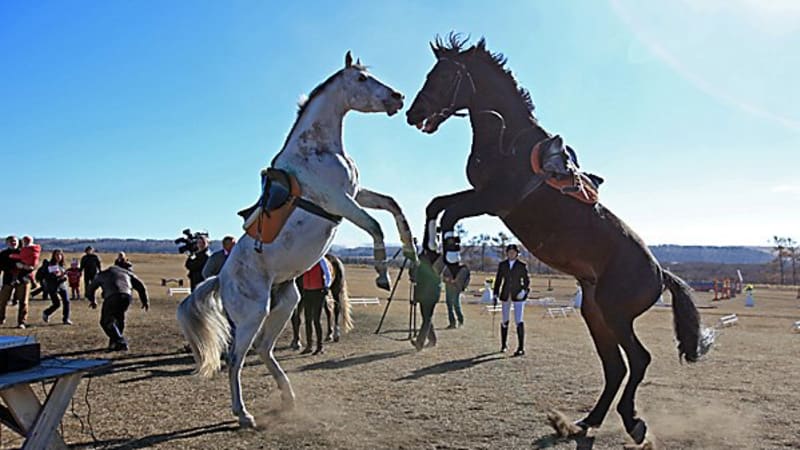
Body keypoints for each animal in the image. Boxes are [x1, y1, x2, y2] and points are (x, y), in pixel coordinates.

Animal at [177, 51, 416, 429]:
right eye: (361, 79)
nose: (398, 97)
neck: (318, 149)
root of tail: (220, 278)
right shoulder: (340, 201)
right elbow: (376, 225)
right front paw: (382, 275)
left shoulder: (356, 194)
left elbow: (394, 207)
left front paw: (411, 251)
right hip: (253, 315)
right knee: (236, 359)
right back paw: (243, 413)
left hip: (286, 302)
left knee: (264, 349)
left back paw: (288, 397)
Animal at [405, 34, 715, 447]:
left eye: (443, 75)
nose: (413, 113)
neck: (507, 139)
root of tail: (660, 273)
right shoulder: (479, 195)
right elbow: (436, 205)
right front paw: (429, 251)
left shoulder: (492, 199)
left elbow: (449, 215)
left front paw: (451, 259)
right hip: (595, 314)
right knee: (615, 367)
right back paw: (584, 422)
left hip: (616, 314)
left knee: (638, 360)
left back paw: (632, 422)